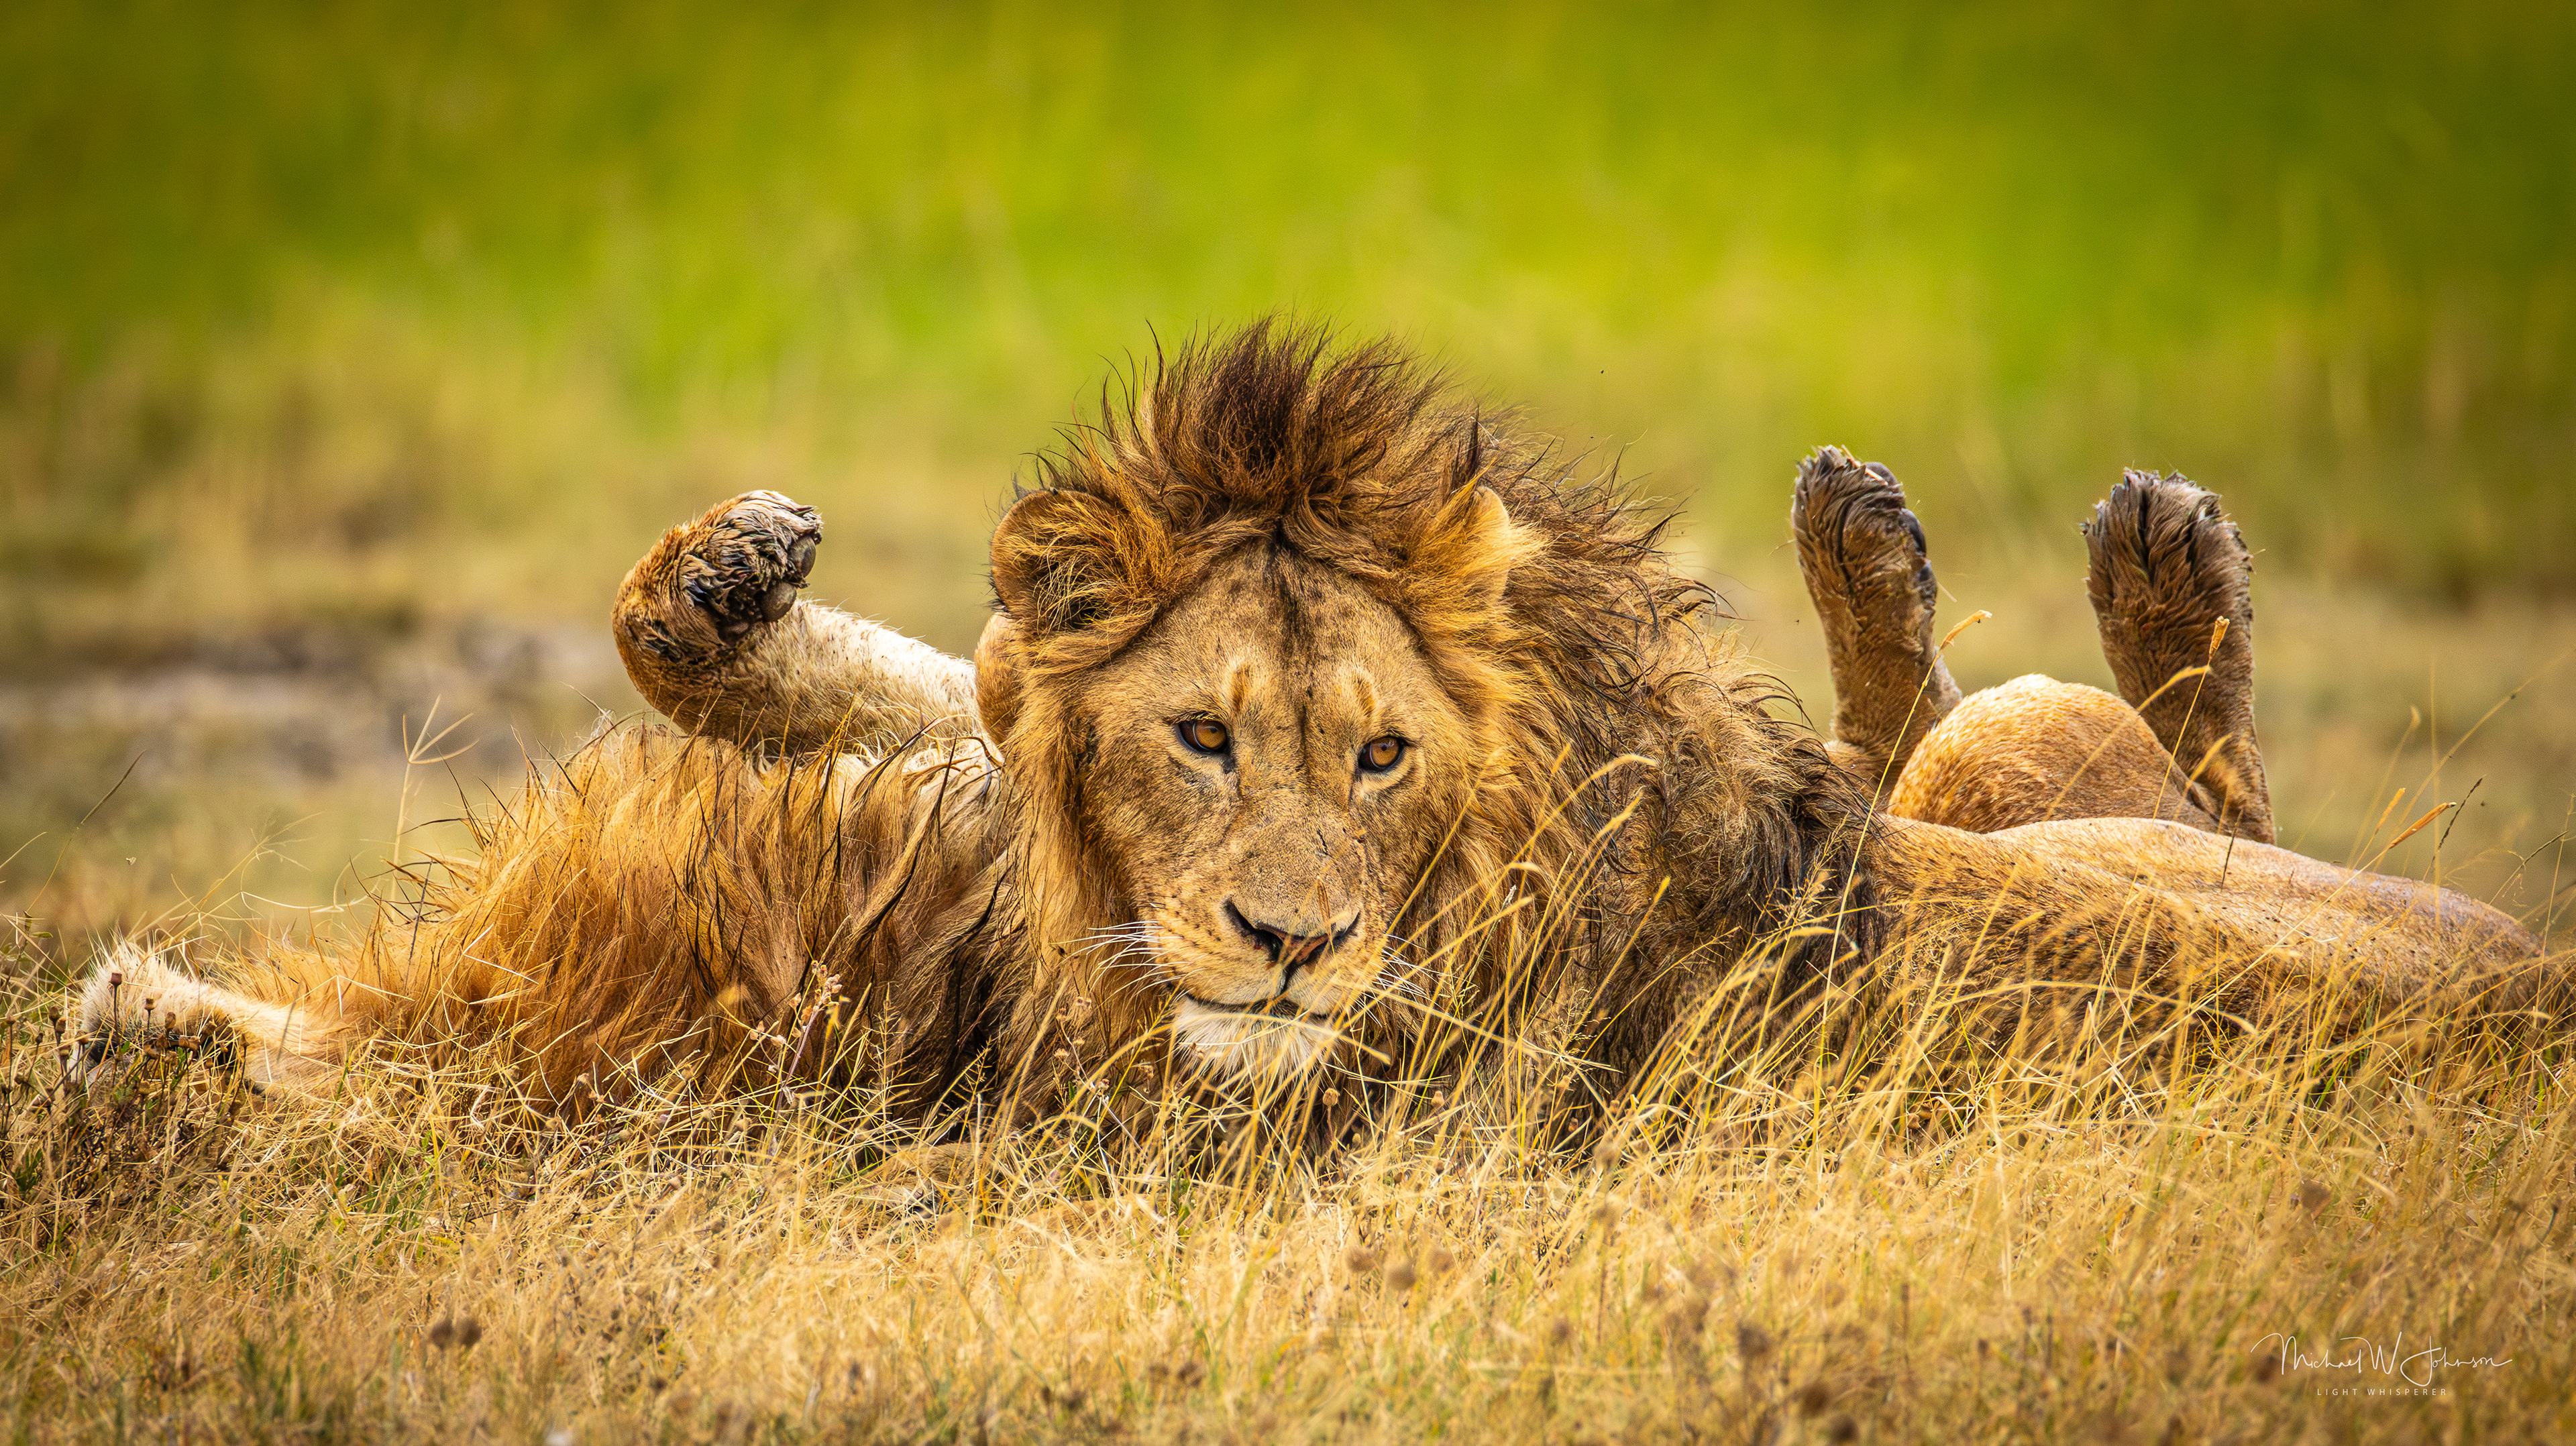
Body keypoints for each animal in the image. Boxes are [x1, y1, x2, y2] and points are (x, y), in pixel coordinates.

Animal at [77, 323, 2549, 1127]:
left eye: (1370, 758)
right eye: (1203, 756)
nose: (1288, 945)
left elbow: (953, 658)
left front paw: (720, 579)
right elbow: (1001, 677)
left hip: (2033, 786)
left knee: (2073, 745)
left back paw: (2032, 546)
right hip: (2020, 787)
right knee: (2020, 746)